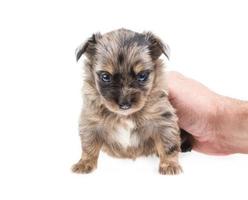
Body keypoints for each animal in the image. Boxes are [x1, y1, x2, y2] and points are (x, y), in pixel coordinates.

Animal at [71, 28, 192, 175]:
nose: (124, 105)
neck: (125, 116)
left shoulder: (163, 121)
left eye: (142, 76)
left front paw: (169, 165)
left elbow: (168, 145)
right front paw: (84, 163)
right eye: (105, 76)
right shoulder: (90, 122)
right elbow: (88, 146)